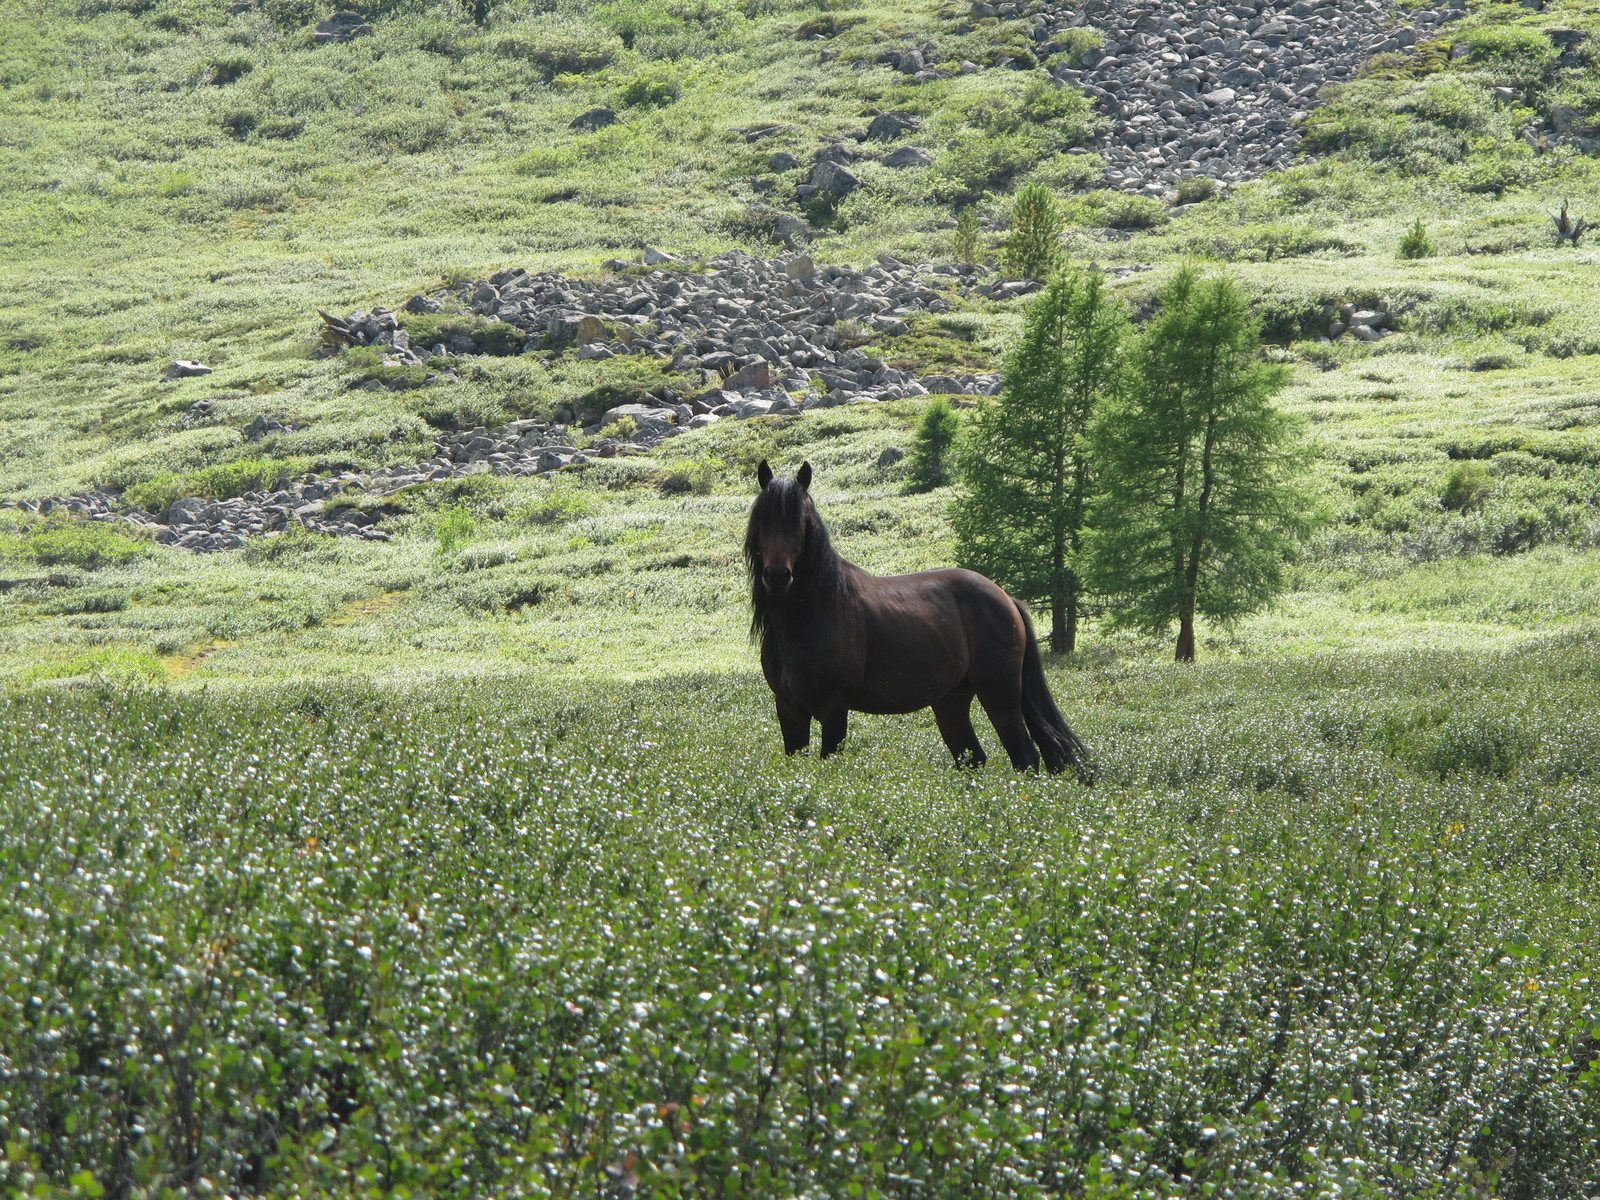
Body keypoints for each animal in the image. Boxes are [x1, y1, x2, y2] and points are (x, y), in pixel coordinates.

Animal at [745, 460, 1094, 780]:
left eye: (800, 521)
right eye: (762, 519)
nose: (777, 576)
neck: (811, 618)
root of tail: (1007, 599)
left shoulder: (834, 707)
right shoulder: (789, 709)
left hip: (1001, 695)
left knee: (1025, 757)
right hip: (951, 702)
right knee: (972, 759)